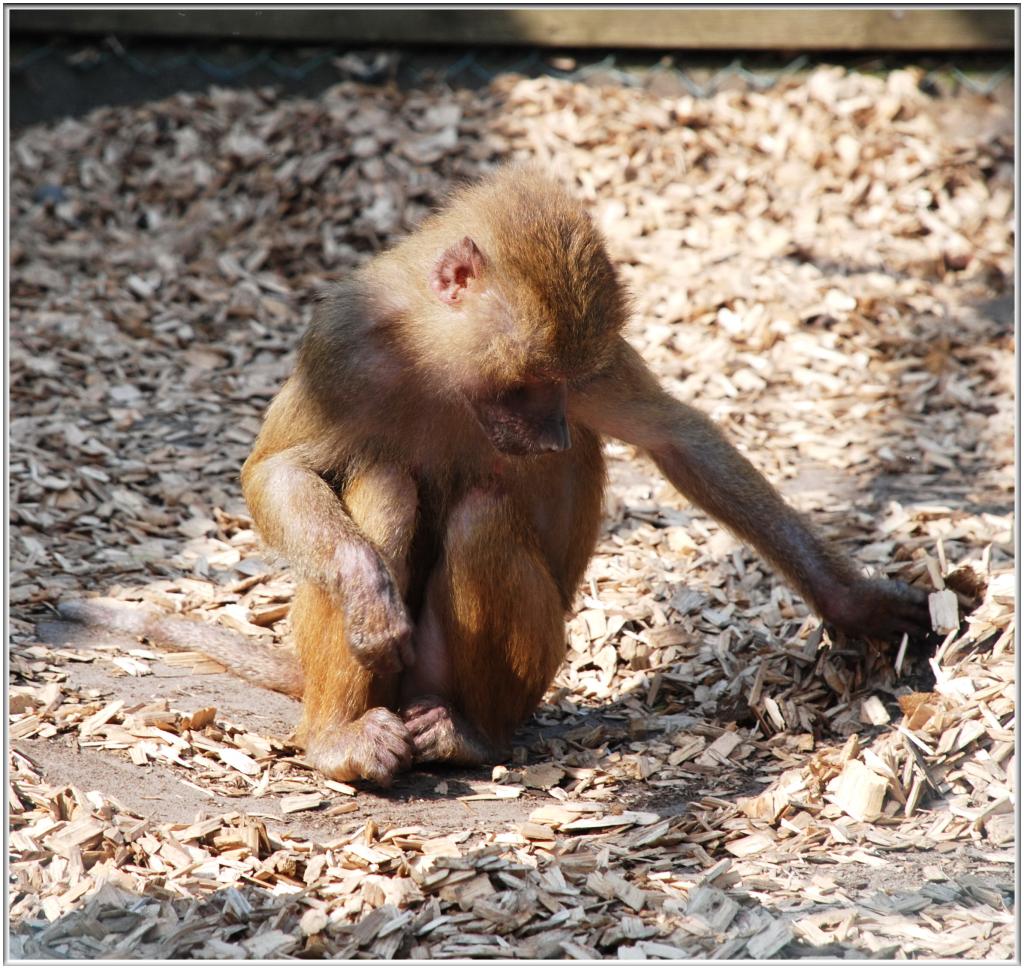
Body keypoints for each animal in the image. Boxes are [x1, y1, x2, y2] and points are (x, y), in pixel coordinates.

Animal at [54, 165, 932, 786]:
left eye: (558, 385)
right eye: (525, 384)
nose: (551, 432)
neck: (441, 361)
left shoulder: (595, 364)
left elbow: (676, 436)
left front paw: (854, 602)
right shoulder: (344, 342)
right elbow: (278, 469)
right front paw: (364, 586)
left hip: (508, 673)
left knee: (479, 519)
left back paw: (469, 736)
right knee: (384, 484)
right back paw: (339, 738)